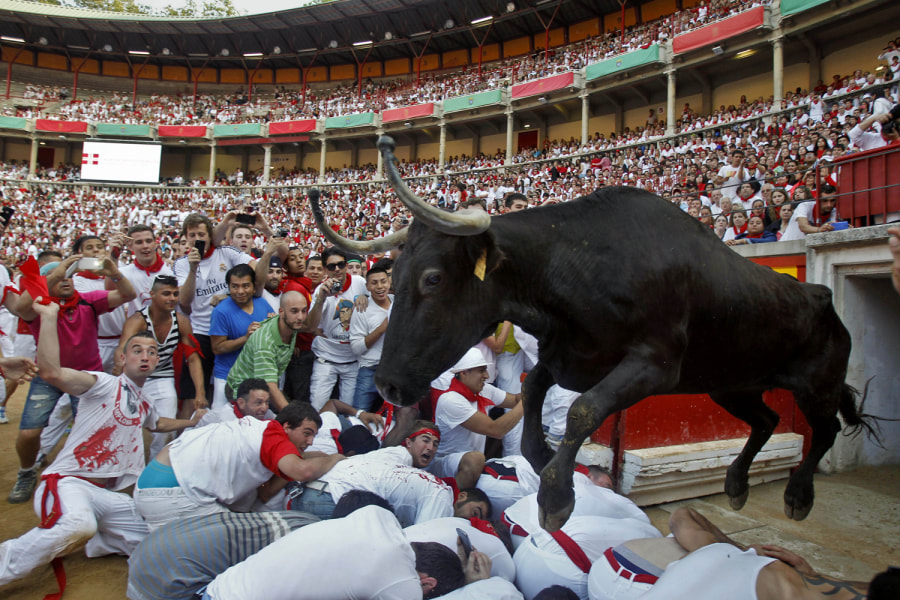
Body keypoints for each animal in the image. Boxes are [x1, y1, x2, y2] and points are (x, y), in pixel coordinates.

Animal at [308, 135, 872, 528]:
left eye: (432, 278)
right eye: (397, 275)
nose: (387, 385)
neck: (575, 267)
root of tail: (819, 294)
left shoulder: (654, 365)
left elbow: (581, 410)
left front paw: (557, 497)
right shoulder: (571, 355)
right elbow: (536, 388)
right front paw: (540, 457)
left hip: (815, 385)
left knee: (822, 430)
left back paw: (798, 496)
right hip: (730, 383)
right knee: (768, 419)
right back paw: (735, 484)